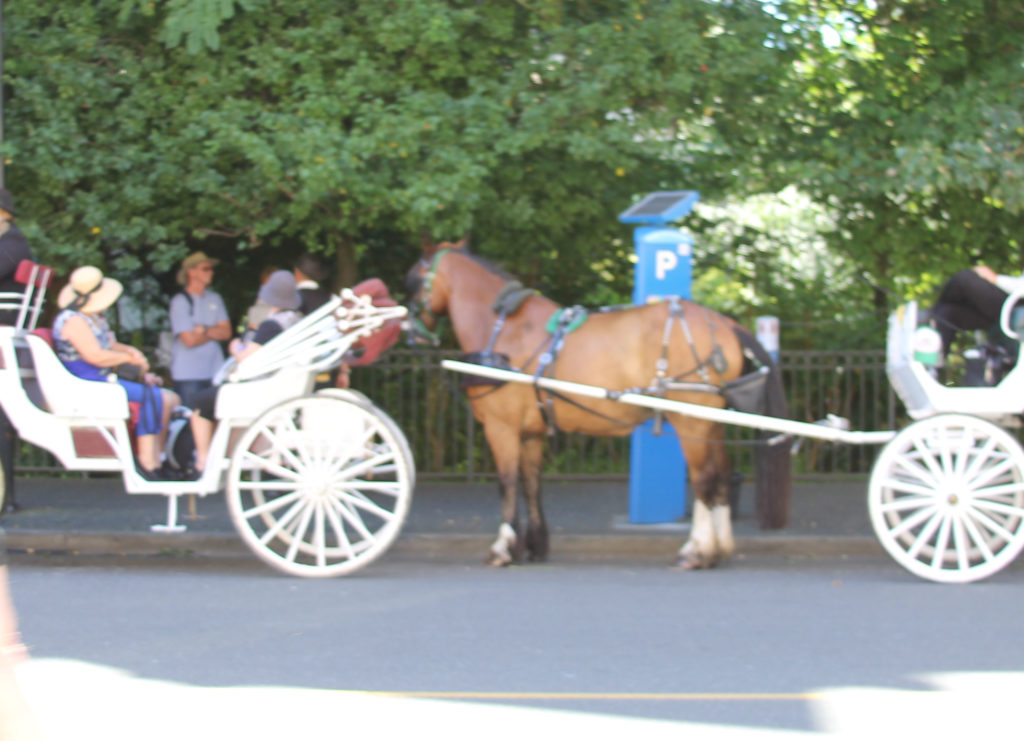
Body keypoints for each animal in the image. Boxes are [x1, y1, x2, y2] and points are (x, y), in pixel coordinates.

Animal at [407, 237, 790, 569]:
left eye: (412, 279)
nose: (412, 333)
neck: (503, 328)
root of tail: (722, 321)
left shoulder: (502, 428)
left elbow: (507, 483)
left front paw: (502, 547)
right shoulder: (531, 431)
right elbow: (531, 484)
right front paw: (534, 545)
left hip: (690, 418)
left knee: (705, 478)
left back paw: (696, 551)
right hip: (712, 421)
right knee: (723, 476)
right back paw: (720, 549)